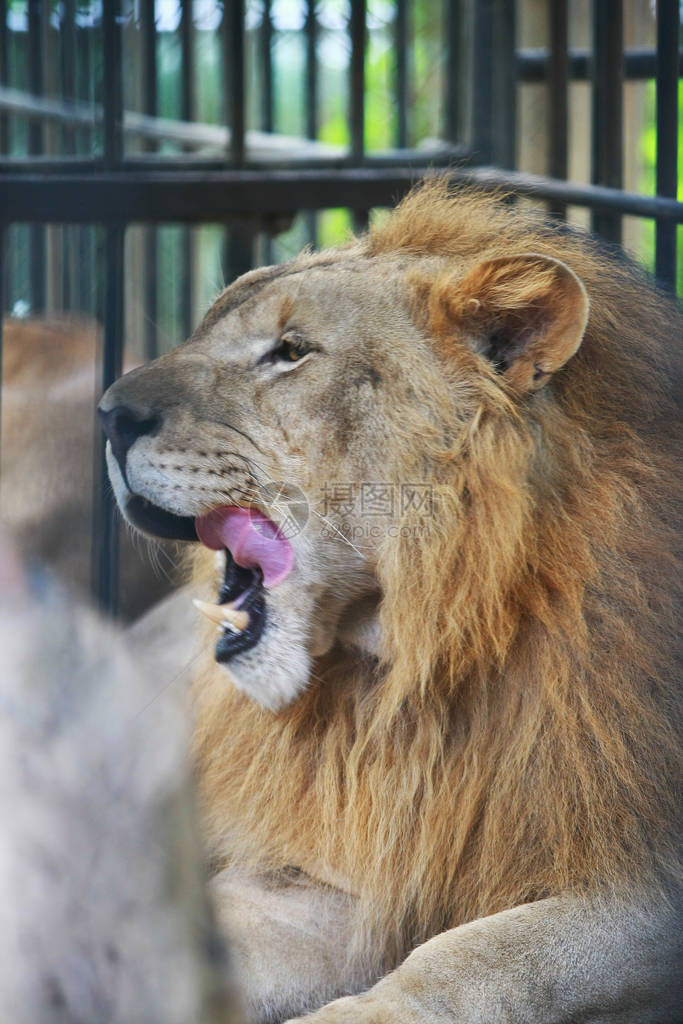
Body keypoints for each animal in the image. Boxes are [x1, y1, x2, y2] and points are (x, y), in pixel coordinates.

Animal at [98, 180, 679, 1019]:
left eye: (289, 352)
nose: (109, 415)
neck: (414, 664)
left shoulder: (639, 869)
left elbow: (479, 959)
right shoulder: (333, 869)